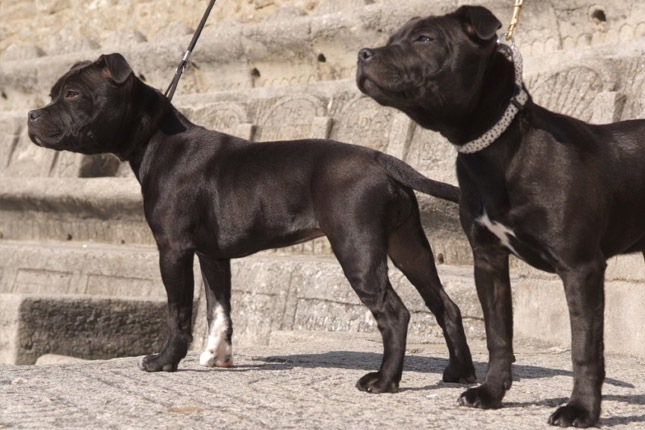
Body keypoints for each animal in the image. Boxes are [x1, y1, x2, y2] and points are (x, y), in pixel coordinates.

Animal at [26, 53, 478, 394]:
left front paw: (165, 361)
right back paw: (459, 374)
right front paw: (219, 357)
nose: (31, 115)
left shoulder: (173, 249)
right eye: (53, 93)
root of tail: (382, 159)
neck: (155, 139)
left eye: (72, 93)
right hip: (410, 247)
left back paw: (383, 382)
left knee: (394, 313)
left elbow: (179, 311)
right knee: (446, 305)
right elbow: (219, 309)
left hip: (357, 249)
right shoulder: (211, 255)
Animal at [358, 5, 644, 428]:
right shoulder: (488, 261)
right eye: (392, 38)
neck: (499, 149)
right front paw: (491, 393)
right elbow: (498, 335)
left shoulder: (580, 267)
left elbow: (584, 347)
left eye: (425, 39)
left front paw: (581, 410)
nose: (363, 54)